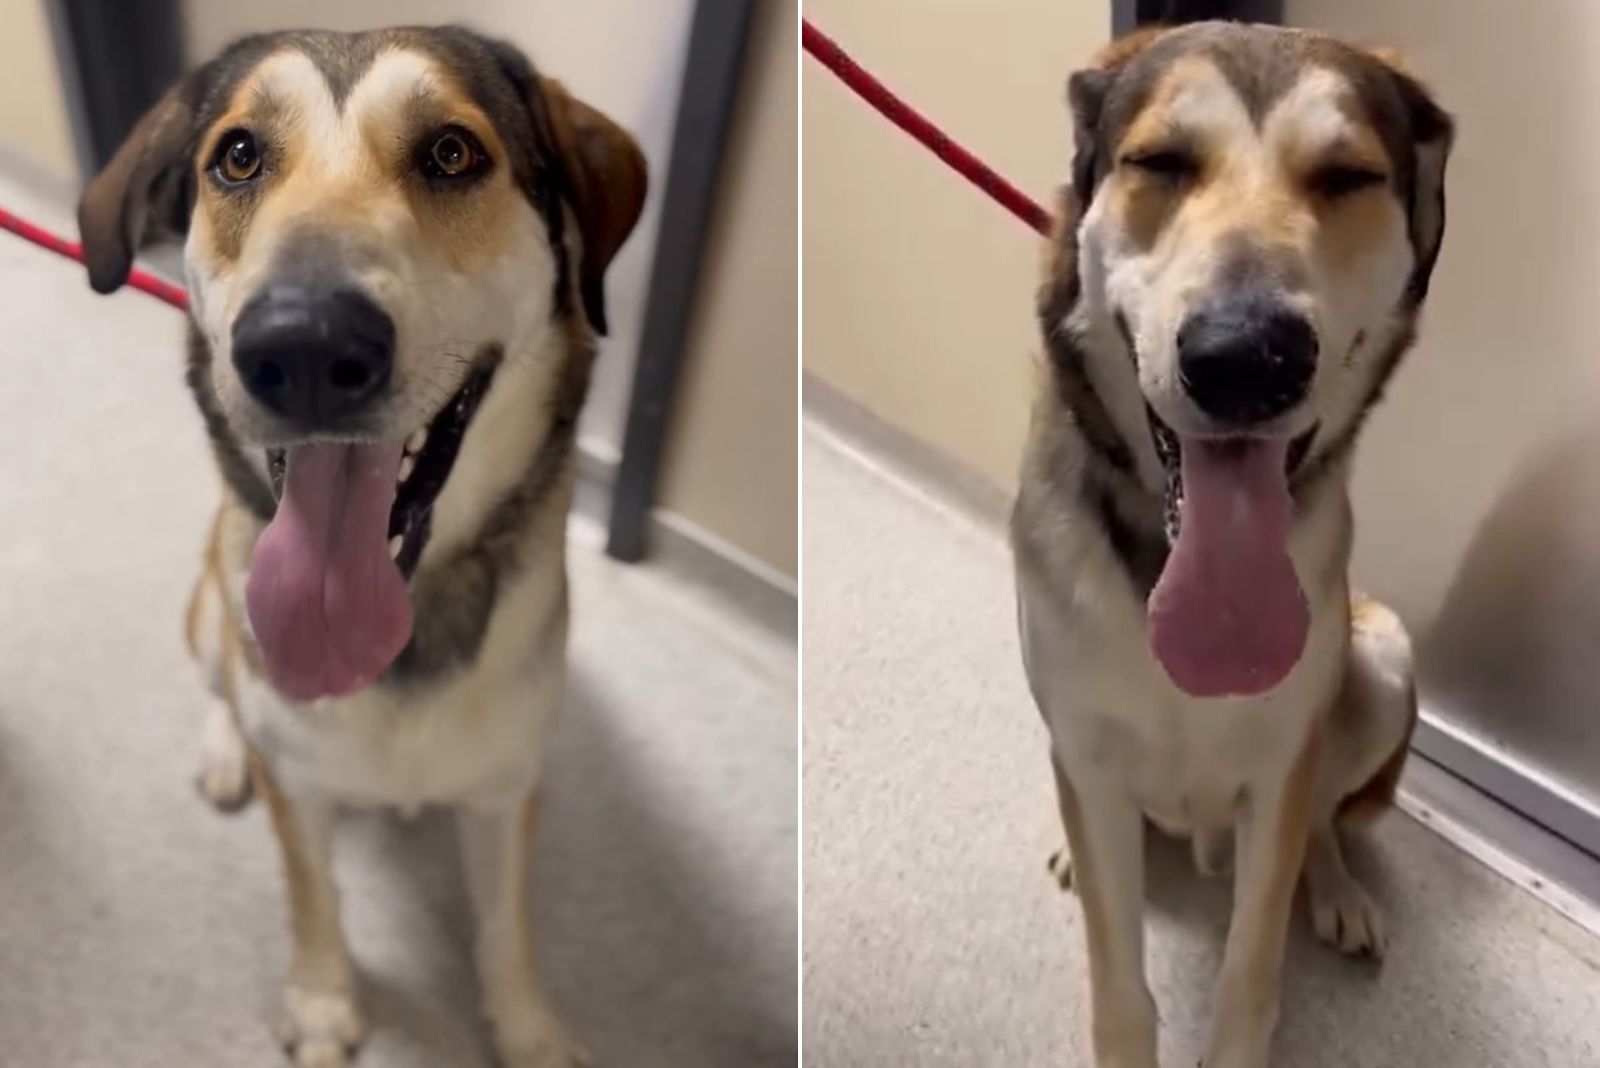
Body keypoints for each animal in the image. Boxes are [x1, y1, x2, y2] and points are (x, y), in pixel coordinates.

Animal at [76, 27, 649, 1068]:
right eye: (238, 156)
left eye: (452, 153)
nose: (303, 347)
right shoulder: (297, 788)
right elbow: (314, 897)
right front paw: (321, 1002)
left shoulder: (505, 790)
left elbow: (506, 924)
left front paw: (527, 1027)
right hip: (209, 610)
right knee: (220, 679)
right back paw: (224, 752)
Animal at [1017, 18, 1459, 1068]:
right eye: (1161, 162)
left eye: (1347, 176)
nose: (1246, 358)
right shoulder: (1087, 755)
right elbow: (1121, 990)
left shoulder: (1280, 770)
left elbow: (1249, 978)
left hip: (1380, 661)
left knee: (1324, 822)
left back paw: (1336, 889)